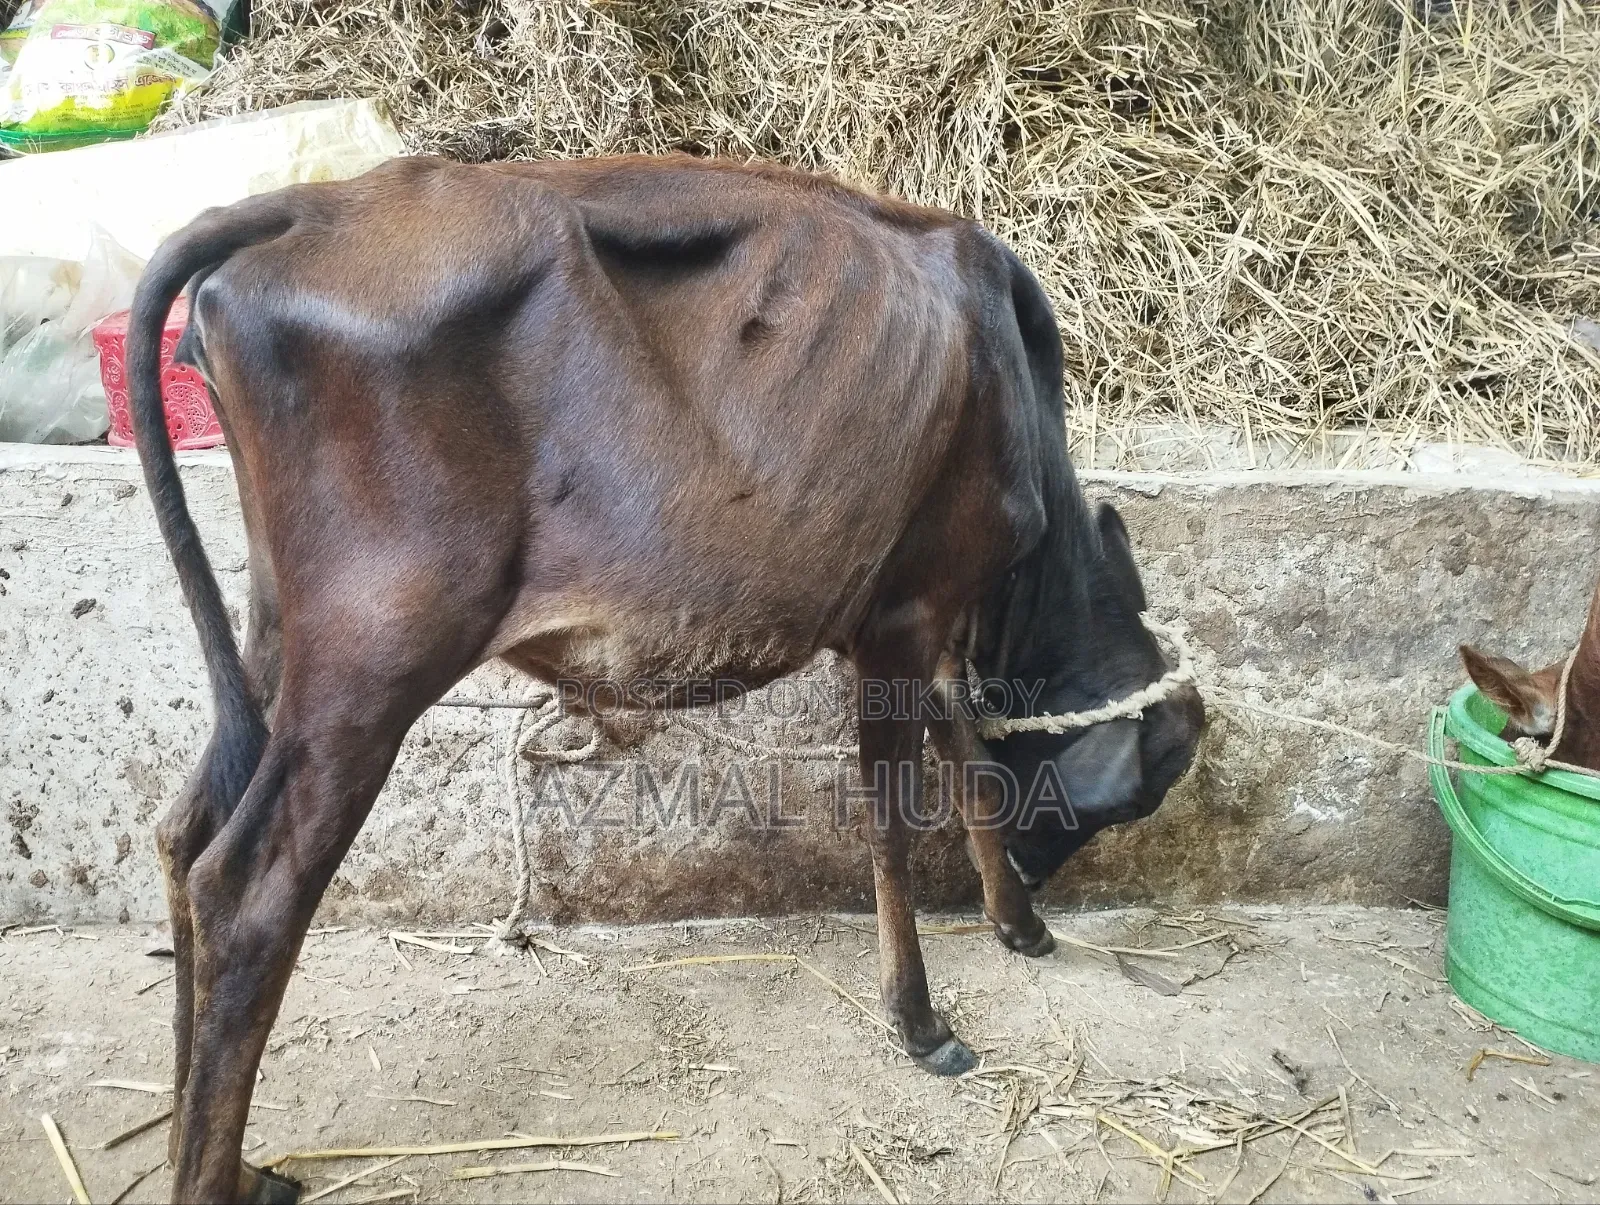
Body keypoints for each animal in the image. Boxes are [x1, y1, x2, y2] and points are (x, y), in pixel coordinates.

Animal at [127, 154, 1205, 1202]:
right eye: (1138, 799)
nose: (1039, 872)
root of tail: (306, 206)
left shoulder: (929, 628)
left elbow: (971, 765)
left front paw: (1015, 923)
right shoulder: (904, 615)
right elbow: (893, 819)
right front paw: (920, 1019)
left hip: (279, 632)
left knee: (187, 829)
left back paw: (214, 1149)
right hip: (376, 652)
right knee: (245, 888)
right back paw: (212, 1171)